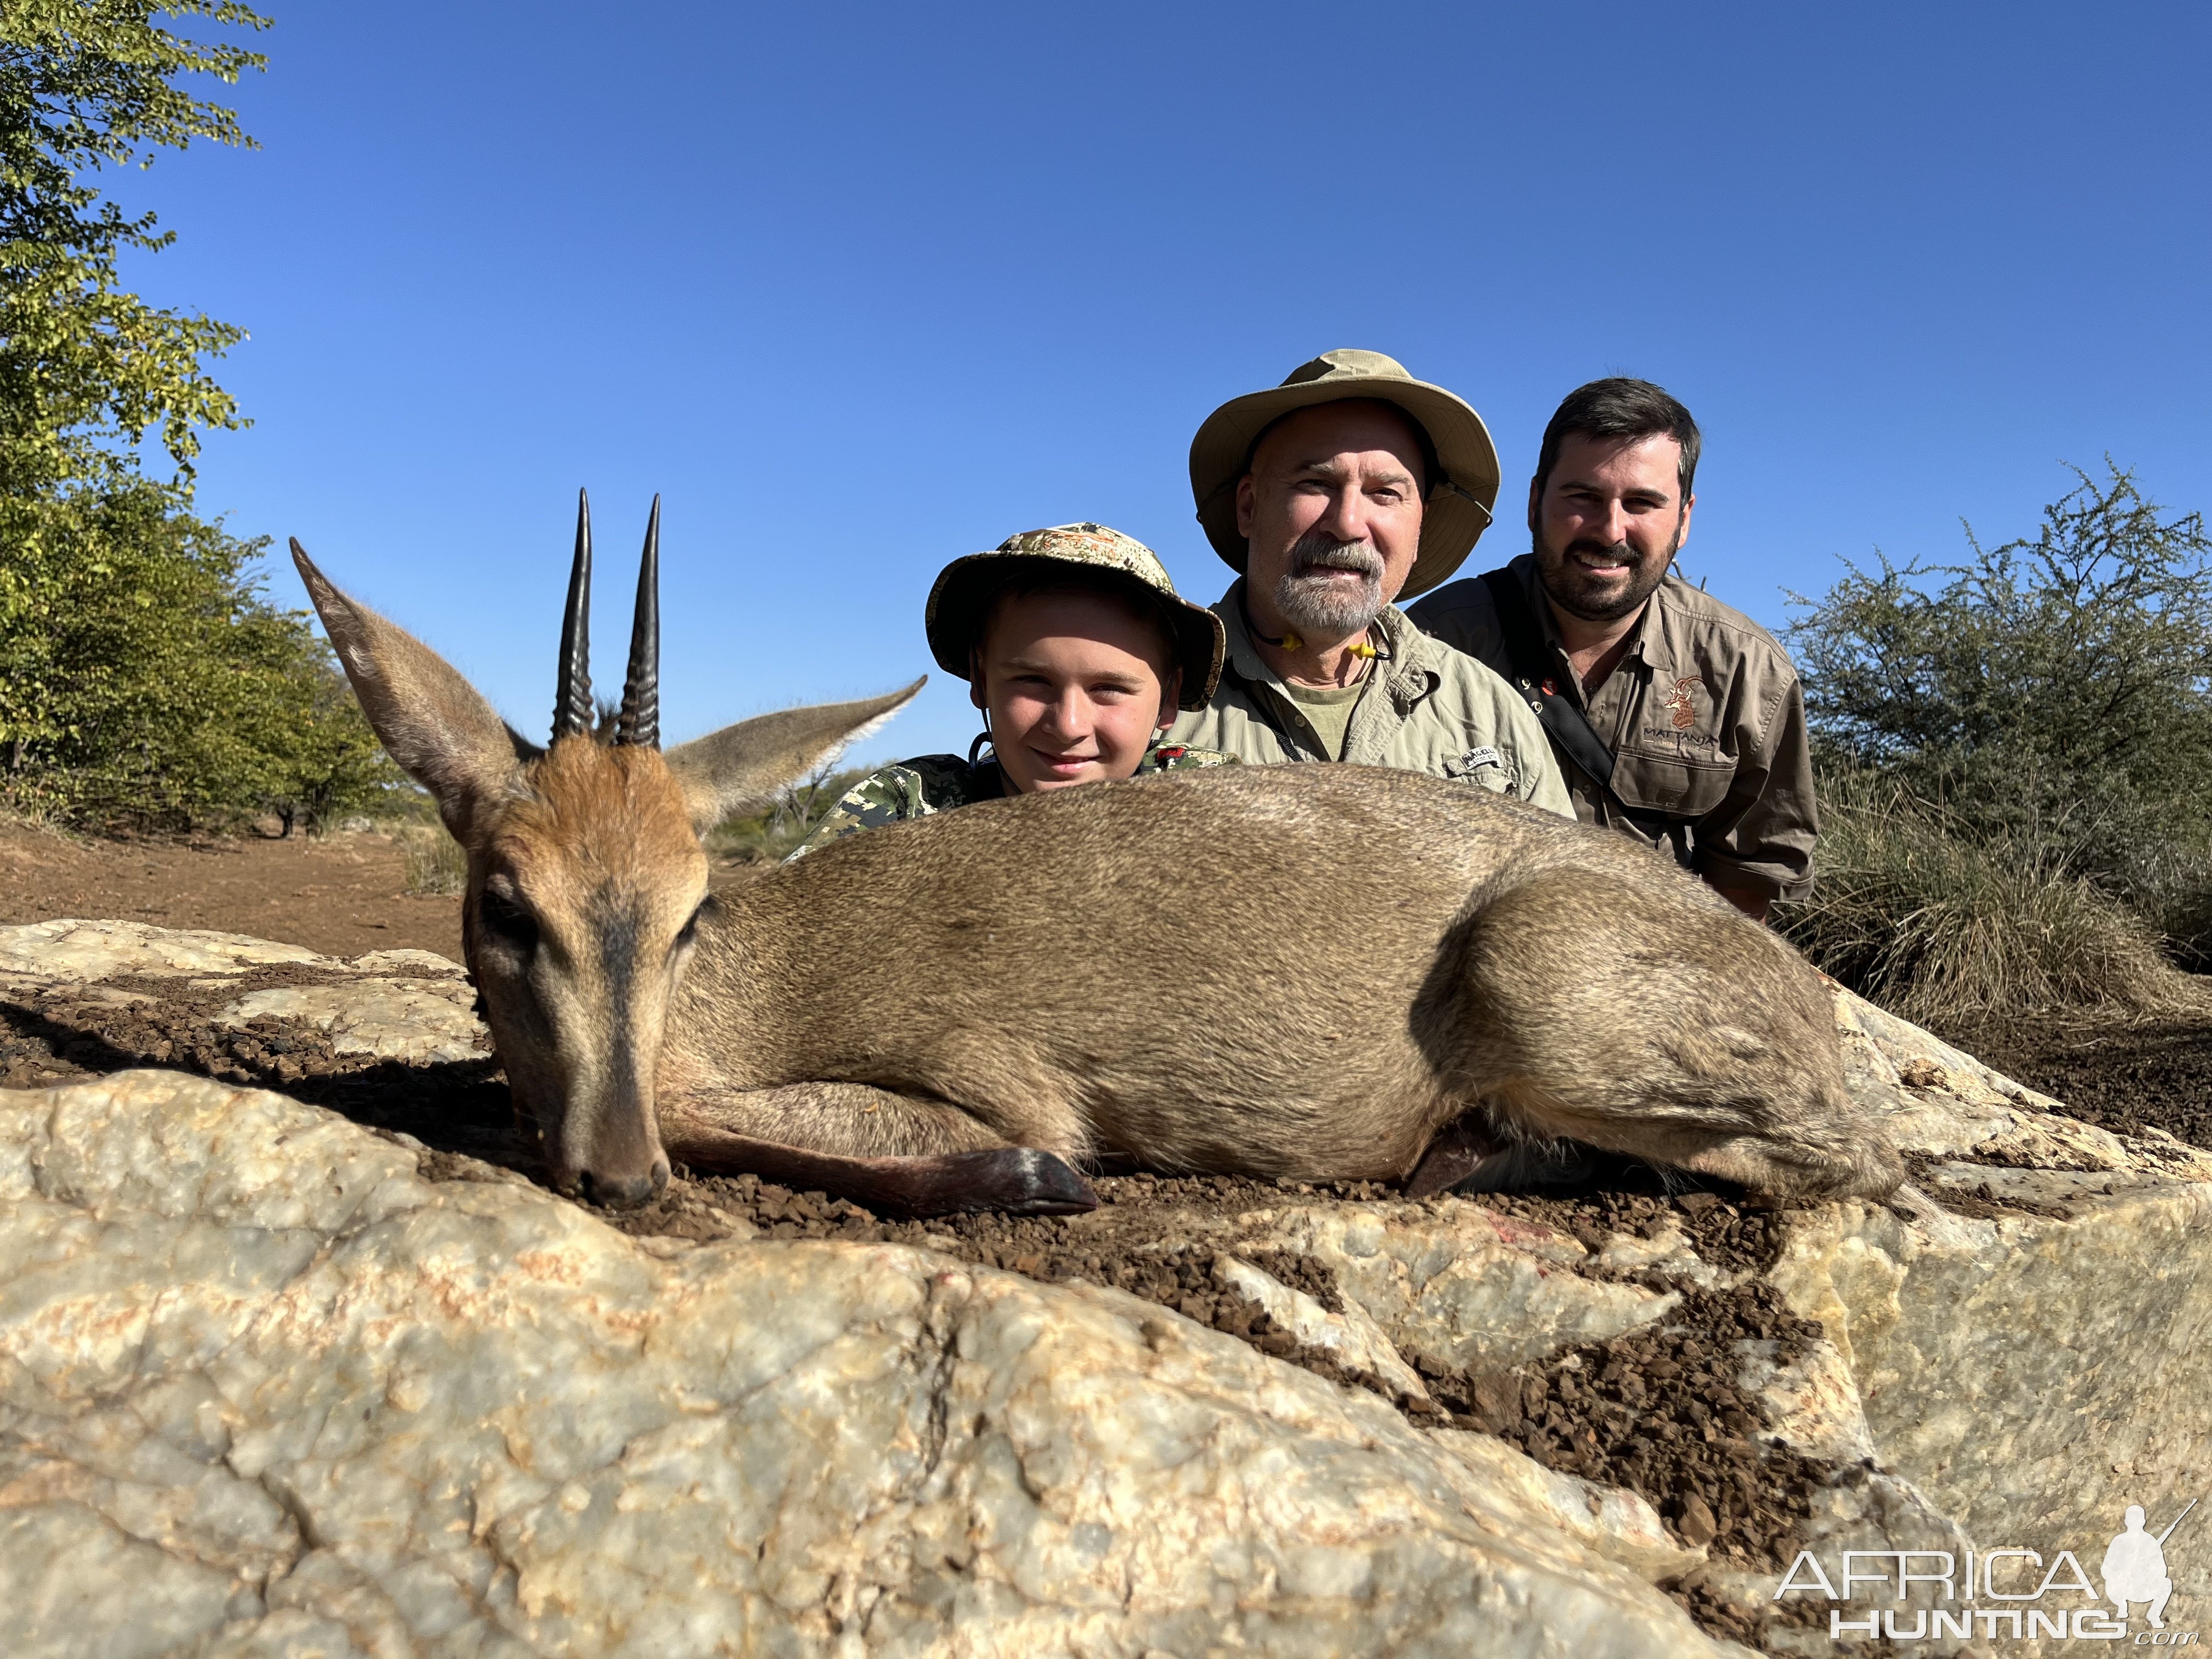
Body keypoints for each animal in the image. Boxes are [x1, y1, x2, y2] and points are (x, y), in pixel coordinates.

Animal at [294, 504, 1911, 1221]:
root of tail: (1795, 987)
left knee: (1845, 1167)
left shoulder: (982, 1078)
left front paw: (1035, 1182)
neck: (734, 995)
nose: (617, 1177)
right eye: (504, 905)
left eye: (691, 916)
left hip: (1547, 993)